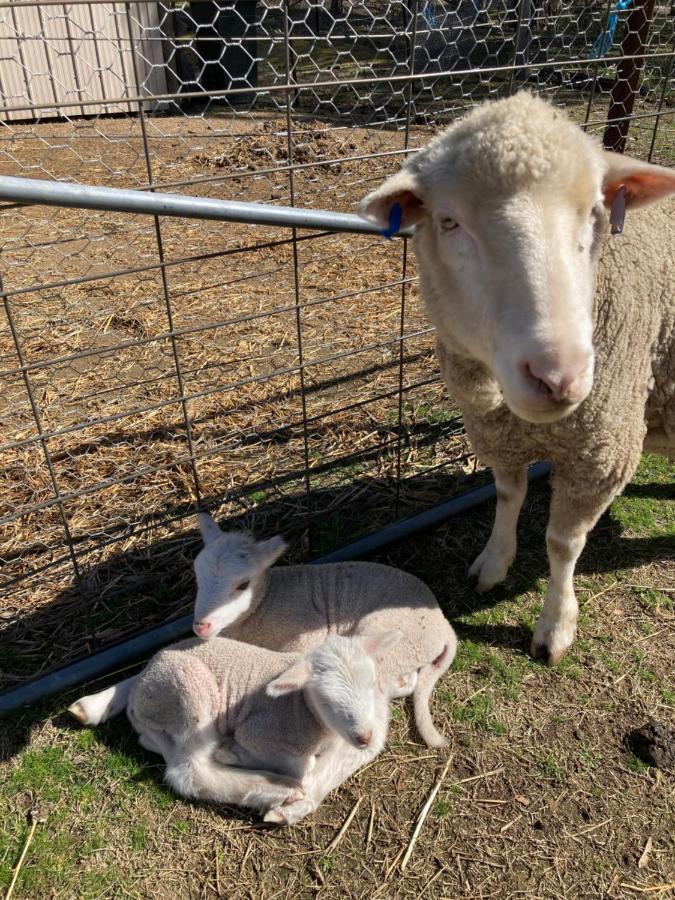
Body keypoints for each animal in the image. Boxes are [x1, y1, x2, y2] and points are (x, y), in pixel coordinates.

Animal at [71, 516, 456, 748]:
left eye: (242, 584)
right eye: (196, 575)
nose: (201, 624)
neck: (264, 606)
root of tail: (444, 624)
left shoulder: (304, 638)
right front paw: (94, 704)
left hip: (389, 635)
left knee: (398, 680)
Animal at [360, 91, 675, 664]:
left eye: (595, 213)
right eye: (448, 221)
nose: (559, 376)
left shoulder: (602, 454)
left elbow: (562, 543)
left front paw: (555, 625)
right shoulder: (496, 434)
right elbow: (508, 496)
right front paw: (493, 563)